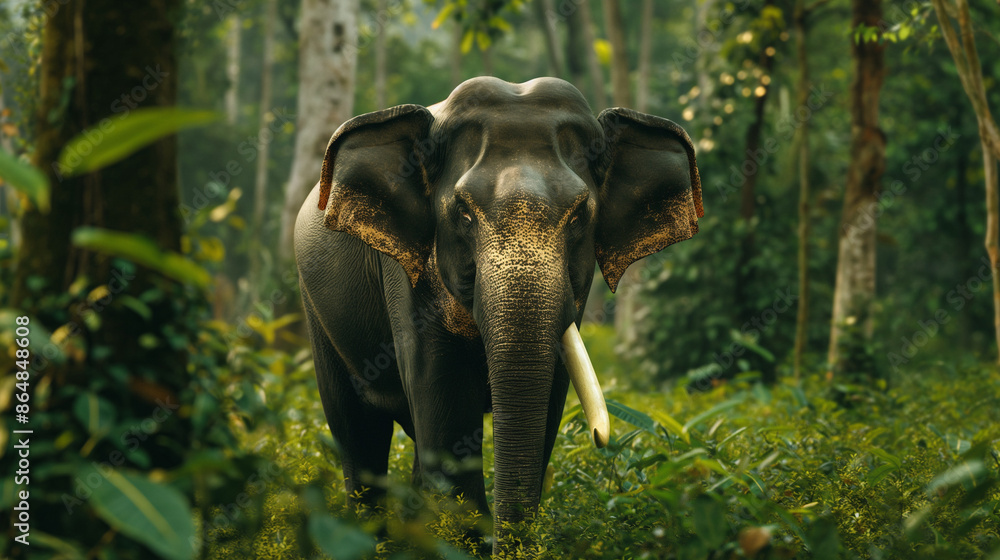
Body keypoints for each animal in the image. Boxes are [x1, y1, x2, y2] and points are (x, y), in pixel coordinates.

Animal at [294, 76, 703, 554]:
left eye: (580, 215)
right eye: (463, 213)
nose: (603, 439)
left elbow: (547, 402)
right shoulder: (404, 275)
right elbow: (444, 402)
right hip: (315, 310)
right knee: (358, 430)